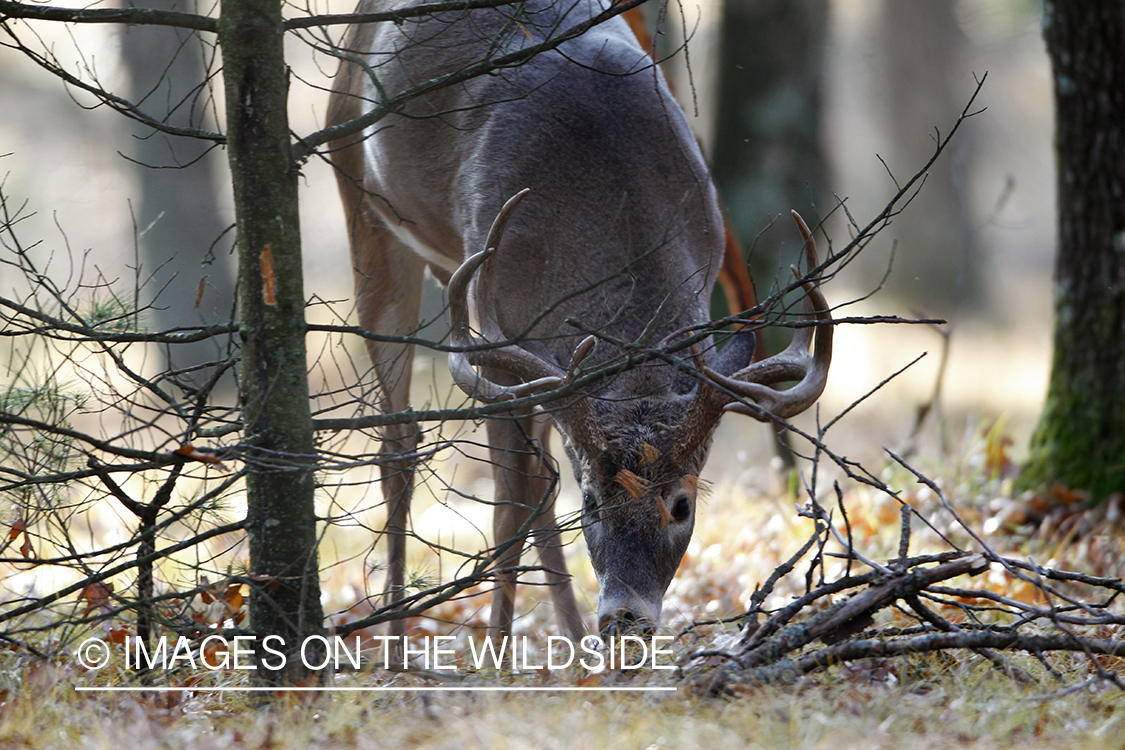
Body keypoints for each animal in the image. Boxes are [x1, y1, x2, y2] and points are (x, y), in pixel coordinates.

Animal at [328, 0, 837, 638]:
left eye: (683, 504)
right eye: (592, 502)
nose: (625, 614)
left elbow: (537, 486)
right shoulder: (498, 330)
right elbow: (509, 502)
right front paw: (498, 645)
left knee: (536, 475)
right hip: (364, 204)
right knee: (399, 446)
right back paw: (396, 639)